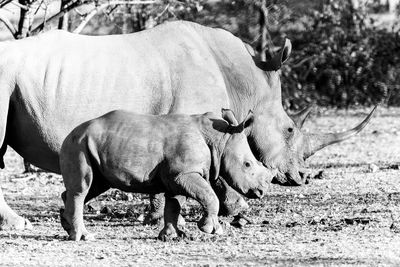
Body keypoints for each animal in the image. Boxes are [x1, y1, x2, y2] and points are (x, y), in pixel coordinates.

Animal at [58, 109, 272, 241]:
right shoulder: (183, 173)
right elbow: (209, 196)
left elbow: (174, 204)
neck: (220, 139)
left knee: (93, 187)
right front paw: (211, 229)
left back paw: (67, 228)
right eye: (247, 164)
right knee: (82, 189)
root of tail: (70, 133)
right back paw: (83, 236)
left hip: (88, 145)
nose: (261, 191)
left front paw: (172, 235)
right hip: (78, 145)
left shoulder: (176, 177)